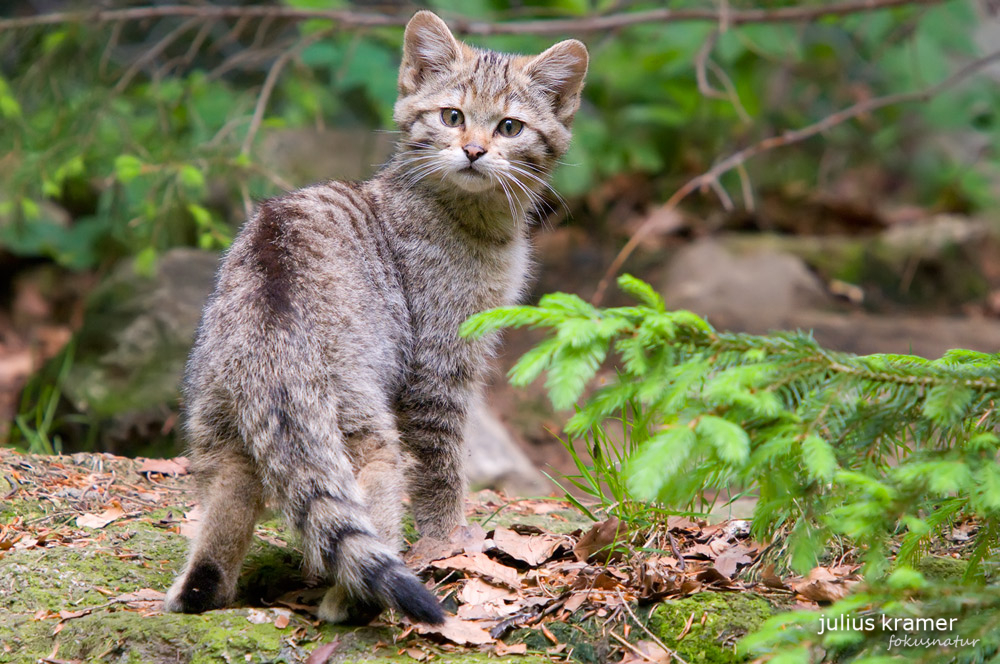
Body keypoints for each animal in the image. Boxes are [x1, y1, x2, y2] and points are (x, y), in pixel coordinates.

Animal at [163, 9, 584, 624]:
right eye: (452, 117)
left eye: (510, 127)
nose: (474, 151)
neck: (472, 217)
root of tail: (267, 306)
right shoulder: (439, 368)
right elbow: (443, 470)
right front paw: (450, 540)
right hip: (362, 427)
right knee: (369, 511)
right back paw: (356, 598)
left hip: (218, 425)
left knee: (232, 507)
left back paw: (201, 589)